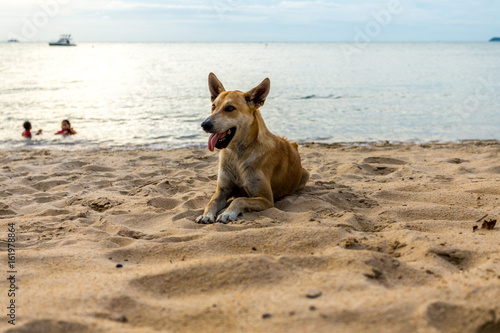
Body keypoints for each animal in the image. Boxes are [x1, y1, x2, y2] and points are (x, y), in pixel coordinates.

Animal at [196, 72, 308, 223]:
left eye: (230, 108)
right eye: (213, 106)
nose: (205, 124)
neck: (236, 154)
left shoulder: (266, 199)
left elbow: (239, 200)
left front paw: (228, 213)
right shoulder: (222, 191)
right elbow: (211, 201)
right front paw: (206, 215)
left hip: (305, 175)